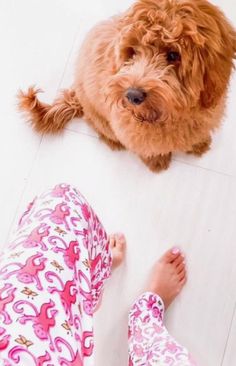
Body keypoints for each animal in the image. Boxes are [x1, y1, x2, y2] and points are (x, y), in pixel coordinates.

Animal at [18, 0, 236, 172]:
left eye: (173, 55)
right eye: (132, 52)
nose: (132, 95)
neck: (172, 115)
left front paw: (200, 144)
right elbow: (148, 150)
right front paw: (157, 162)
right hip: (98, 115)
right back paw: (113, 142)